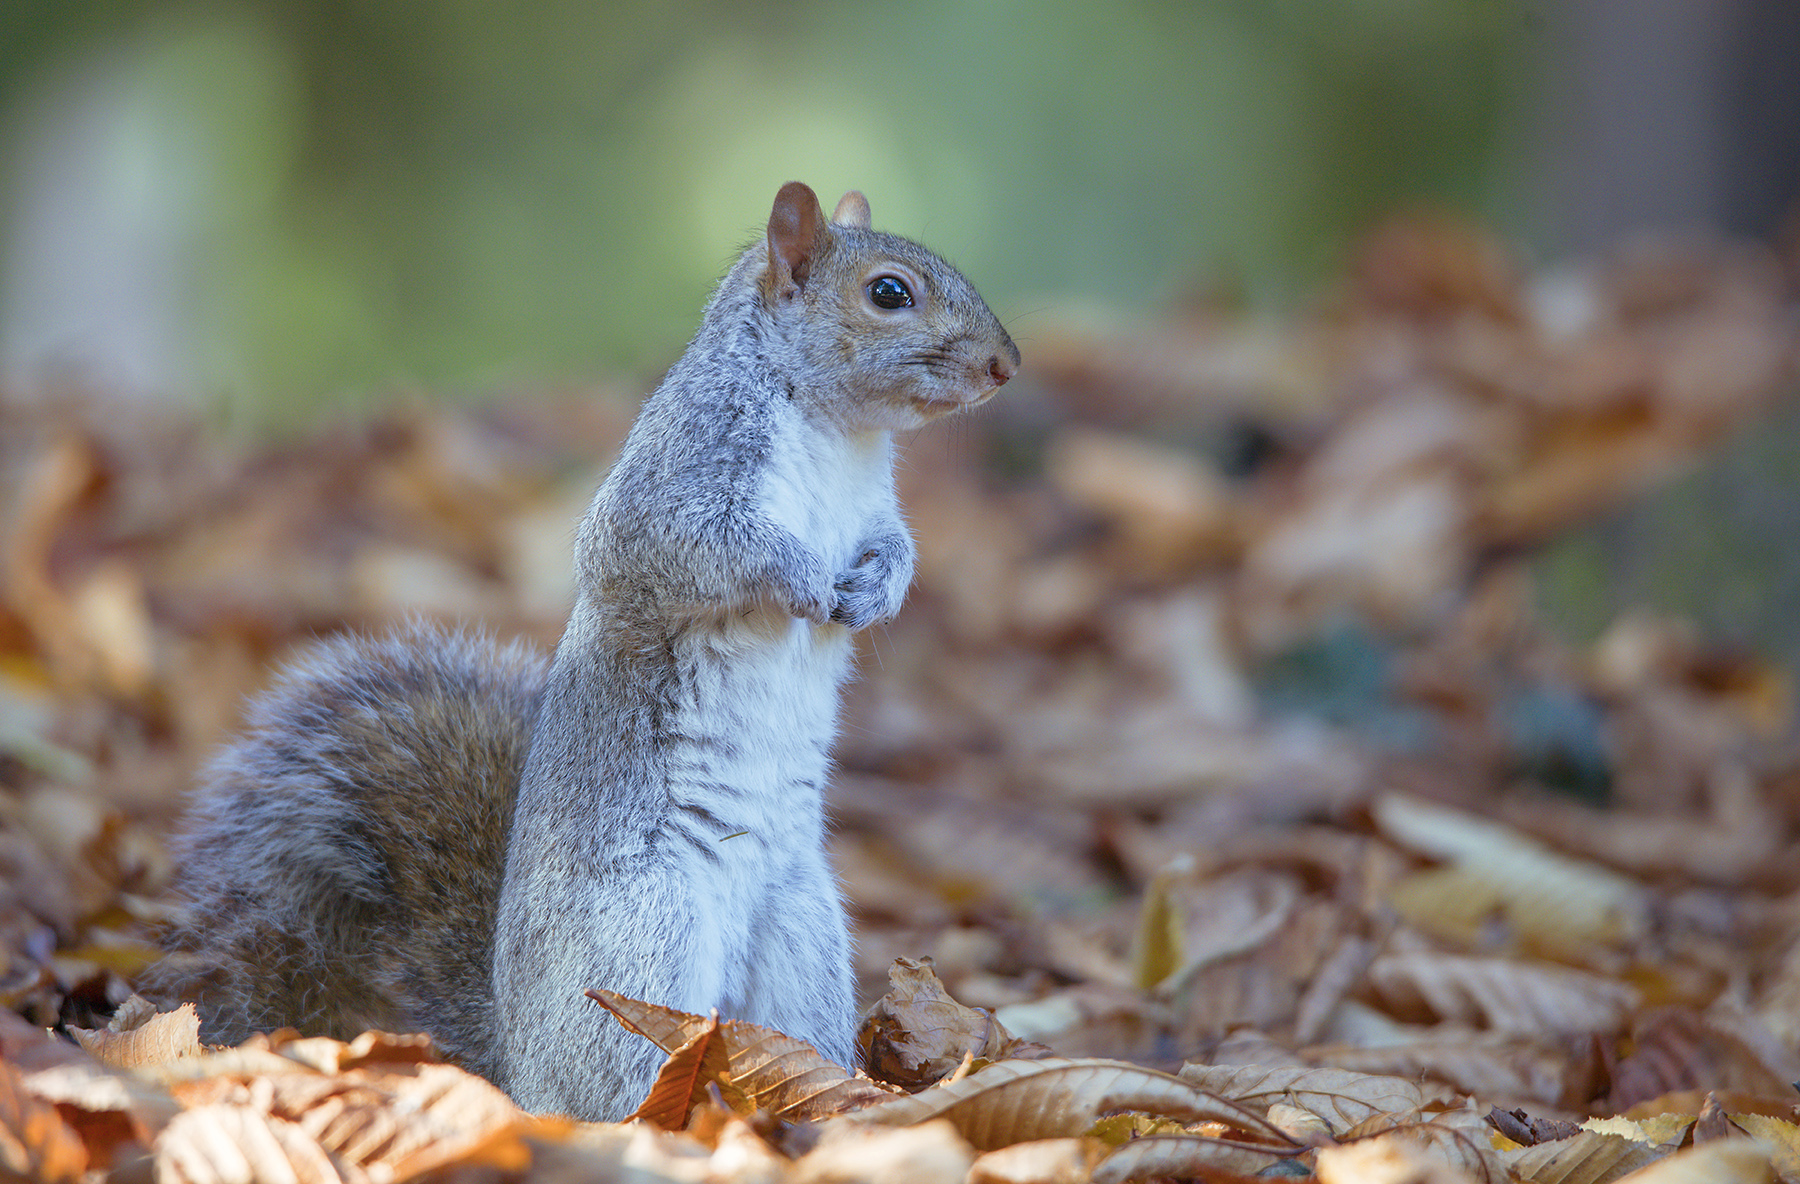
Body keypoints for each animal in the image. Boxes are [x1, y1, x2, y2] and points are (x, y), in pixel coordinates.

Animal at [149, 182, 1019, 1122]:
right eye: (889, 293)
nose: (1006, 366)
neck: (836, 432)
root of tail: (519, 1070)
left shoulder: (874, 508)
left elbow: (895, 548)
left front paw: (873, 592)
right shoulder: (680, 476)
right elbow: (688, 547)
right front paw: (800, 580)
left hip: (802, 947)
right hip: (643, 946)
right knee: (625, 1079)